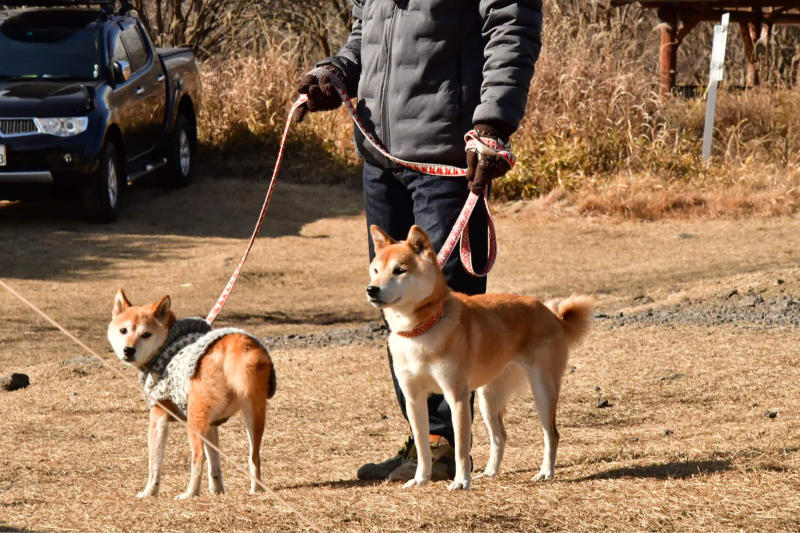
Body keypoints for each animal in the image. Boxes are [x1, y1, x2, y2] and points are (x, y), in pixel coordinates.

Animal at [107, 288, 276, 496]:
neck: (166, 343)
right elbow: (215, 464)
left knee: (198, 457)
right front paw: (217, 490)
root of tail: (235, 345)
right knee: (254, 456)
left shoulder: (158, 416)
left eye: (146, 334)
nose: (128, 350)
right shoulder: (211, 424)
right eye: (123, 330)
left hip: (195, 418)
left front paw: (149, 492)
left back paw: (190, 493)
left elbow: (154, 464)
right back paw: (256, 490)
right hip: (253, 414)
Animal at [366, 224, 592, 490]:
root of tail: (551, 314)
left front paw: (461, 481)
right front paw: (420, 479)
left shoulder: (457, 397)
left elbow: (461, 449)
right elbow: (422, 447)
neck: (420, 330)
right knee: (500, 436)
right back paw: (491, 472)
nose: (371, 289)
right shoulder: (414, 398)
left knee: (551, 434)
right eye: (375, 271)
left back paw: (545, 472)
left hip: (542, 390)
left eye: (399, 270)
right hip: (488, 396)